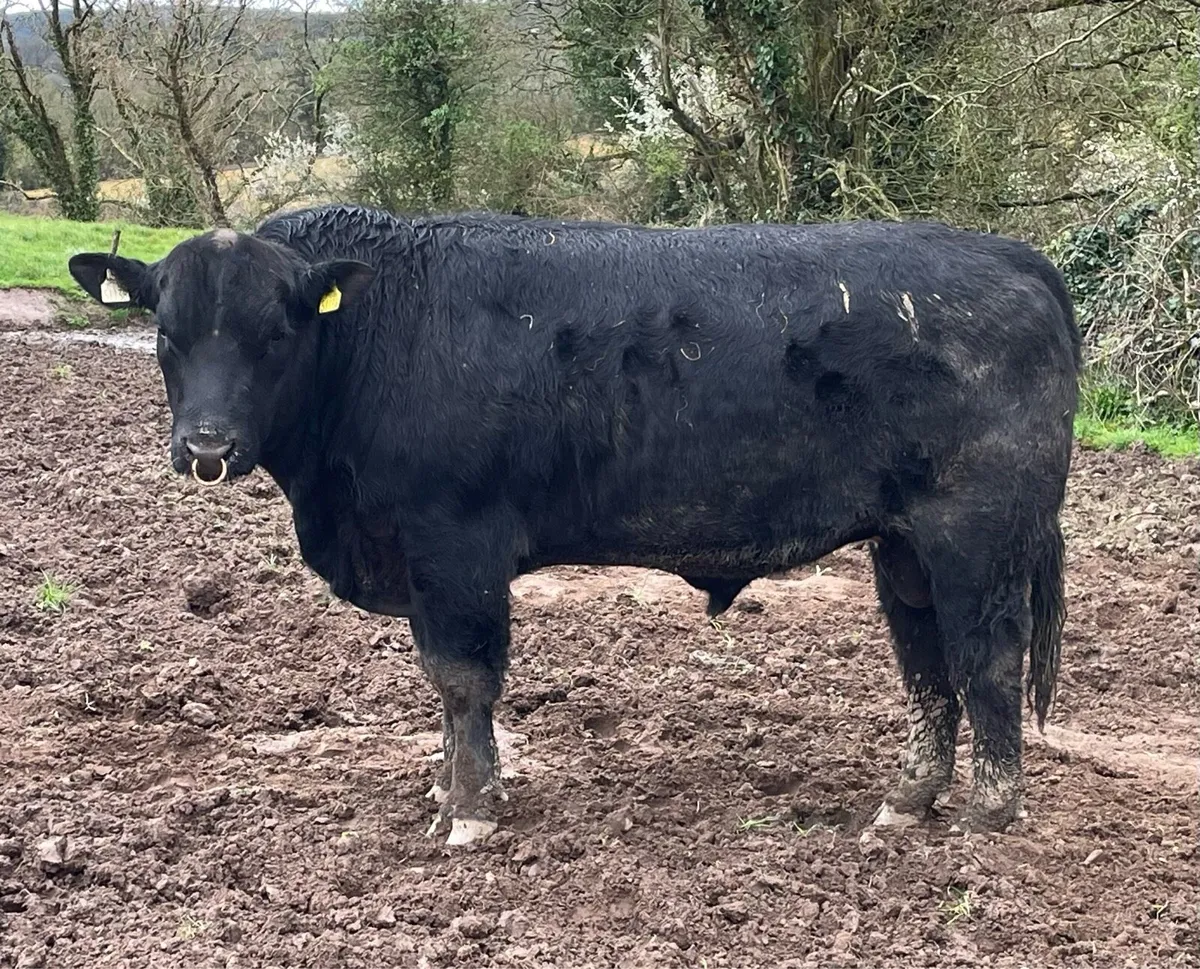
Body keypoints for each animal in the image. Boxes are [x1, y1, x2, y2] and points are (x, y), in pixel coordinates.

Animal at [67, 204, 1080, 846]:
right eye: (166, 332)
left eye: (274, 335)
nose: (207, 445)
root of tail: (1018, 260)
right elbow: (445, 684)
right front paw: (447, 785)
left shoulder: (455, 545)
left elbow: (463, 677)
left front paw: (470, 810)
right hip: (904, 545)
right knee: (927, 664)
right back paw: (907, 800)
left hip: (977, 535)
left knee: (986, 657)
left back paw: (987, 815)